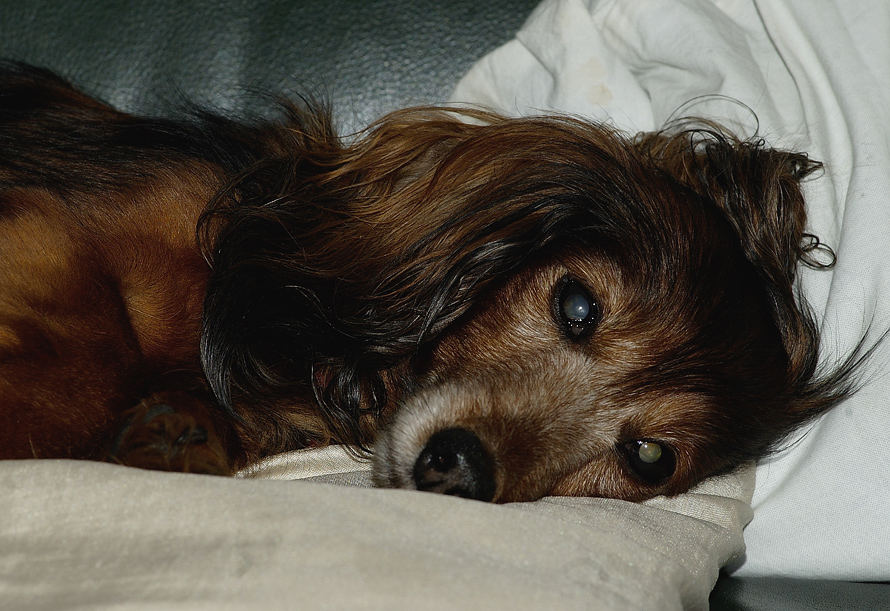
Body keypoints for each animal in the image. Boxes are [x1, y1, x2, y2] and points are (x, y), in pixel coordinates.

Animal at [0, 62, 864, 504]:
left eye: (648, 456)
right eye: (576, 304)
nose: (460, 468)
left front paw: (173, 432)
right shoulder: (53, 221)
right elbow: (91, 361)